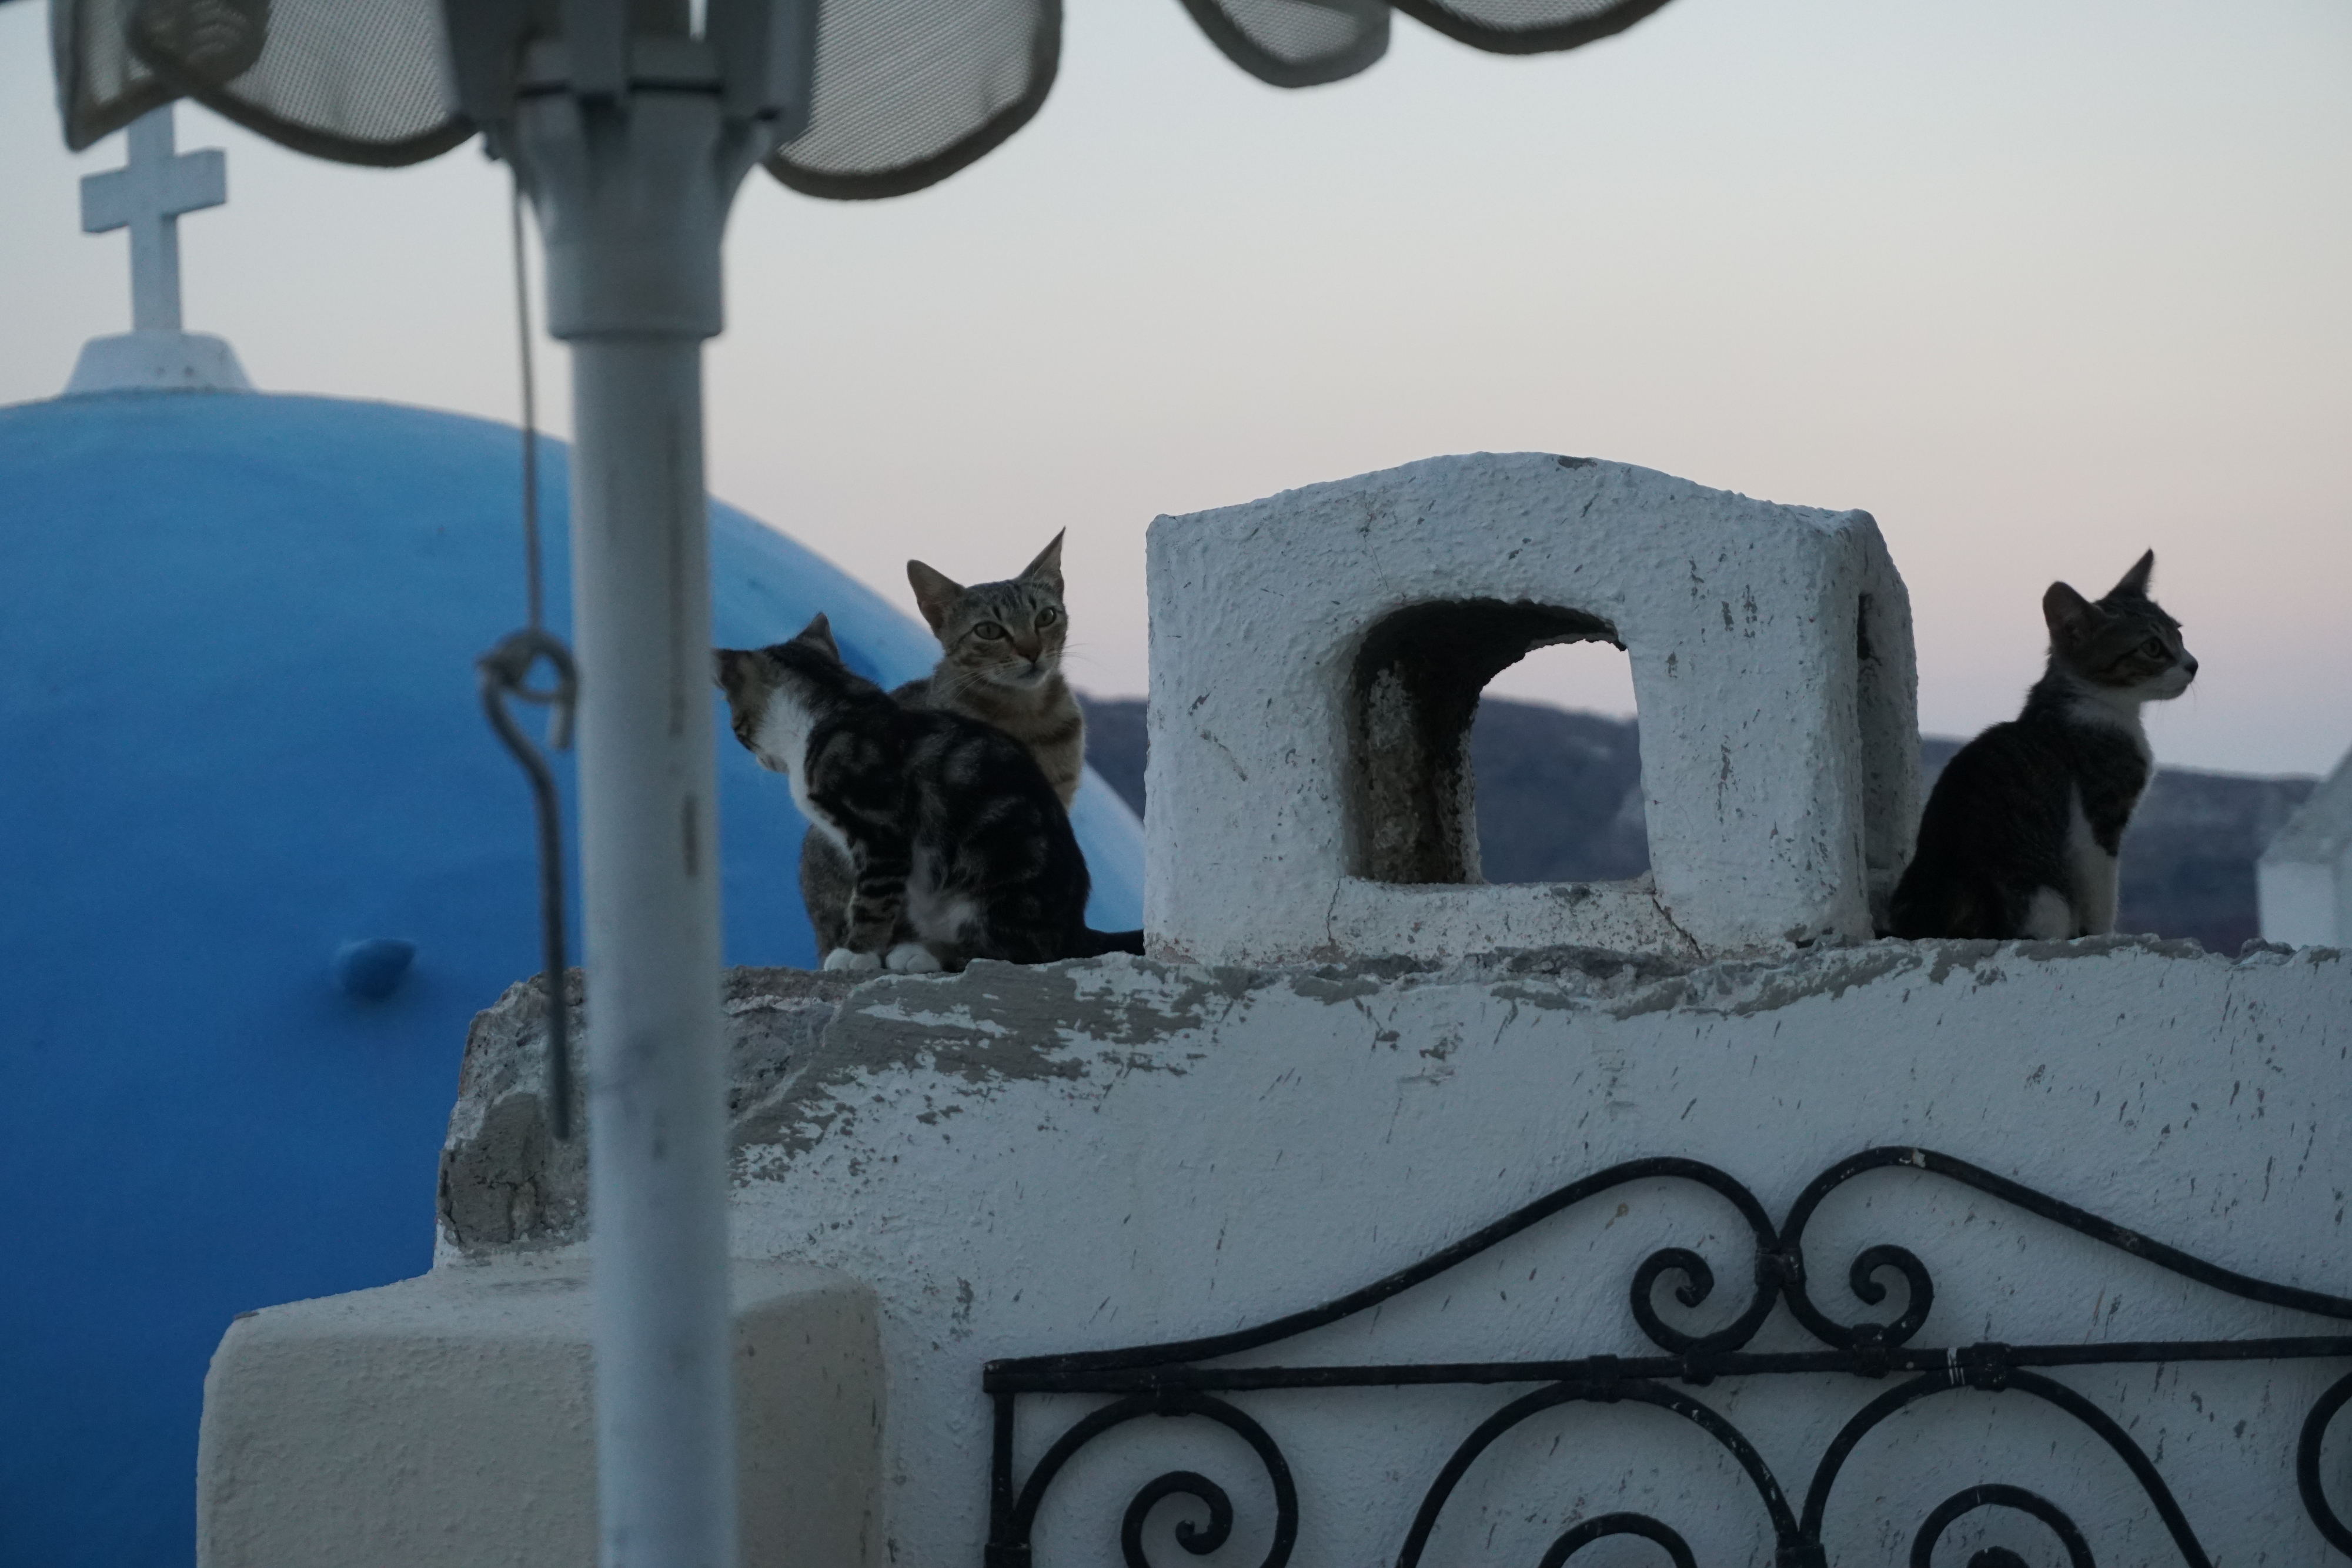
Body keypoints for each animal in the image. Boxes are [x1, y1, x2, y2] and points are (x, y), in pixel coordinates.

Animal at [710, 616, 1143, 973]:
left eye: (736, 725)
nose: (760, 759)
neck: (835, 706)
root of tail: (1075, 928)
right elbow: (878, 901)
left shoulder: (882, 831)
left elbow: (871, 900)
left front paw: (857, 953)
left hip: (995, 884)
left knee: (1014, 951)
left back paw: (924, 954)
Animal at [1882, 552, 2192, 945]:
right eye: (2153, 648)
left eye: (2179, 634)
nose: (2193, 665)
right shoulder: (2096, 819)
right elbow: (2101, 894)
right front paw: (2103, 936)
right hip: (2044, 893)